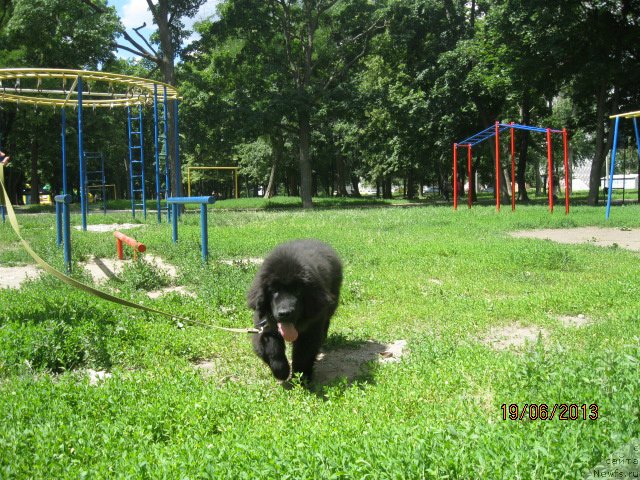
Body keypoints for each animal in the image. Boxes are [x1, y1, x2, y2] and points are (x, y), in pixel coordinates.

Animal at [248, 240, 342, 386]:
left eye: (298, 290)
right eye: (273, 290)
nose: (285, 313)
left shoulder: (311, 328)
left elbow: (303, 354)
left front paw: (301, 377)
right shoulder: (264, 327)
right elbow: (272, 350)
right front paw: (282, 371)